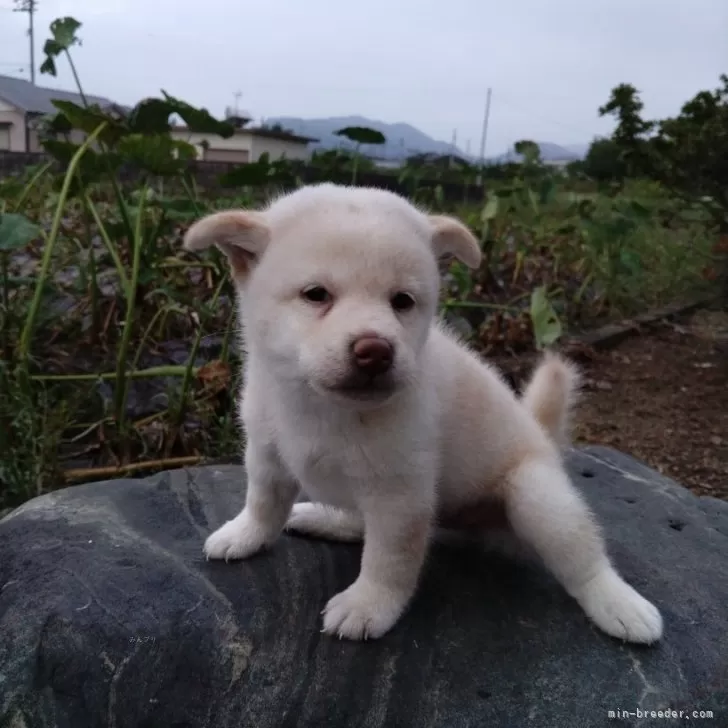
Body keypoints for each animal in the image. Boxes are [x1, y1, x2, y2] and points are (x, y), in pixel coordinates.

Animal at [185, 182, 664, 644]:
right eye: (316, 295)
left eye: (402, 301)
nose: (375, 350)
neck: (323, 408)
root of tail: (542, 436)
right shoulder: (267, 454)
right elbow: (263, 503)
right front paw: (245, 535)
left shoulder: (401, 496)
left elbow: (389, 560)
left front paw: (369, 604)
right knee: (360, 523)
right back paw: (326, 518)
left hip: (538, 497)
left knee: (583, 558)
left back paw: (619, 604)